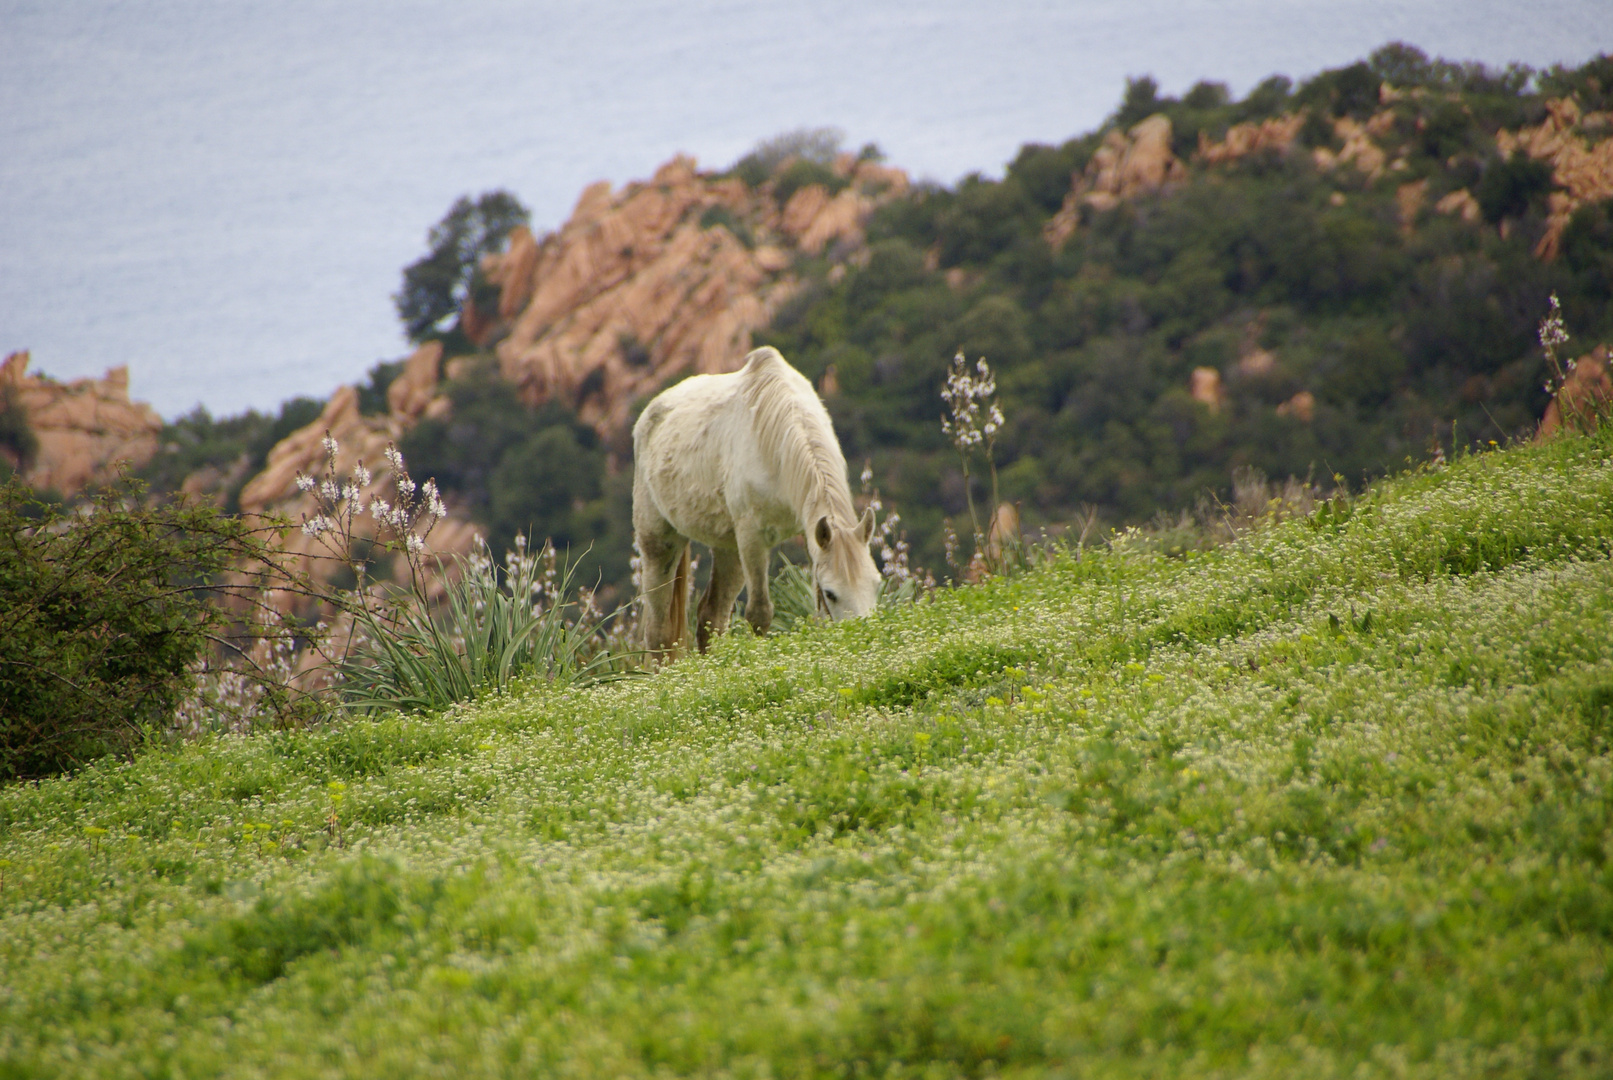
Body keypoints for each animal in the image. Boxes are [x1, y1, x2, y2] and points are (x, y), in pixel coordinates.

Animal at [632, 346, 883, 660]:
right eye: (830, 593)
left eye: (876, 584)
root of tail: (649, 415)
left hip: (728, 548)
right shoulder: (753, 538)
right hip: (660, 543)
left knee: (710, 616)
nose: (863, 639)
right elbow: (759, 614)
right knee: (659, 633)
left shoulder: (808, 530)